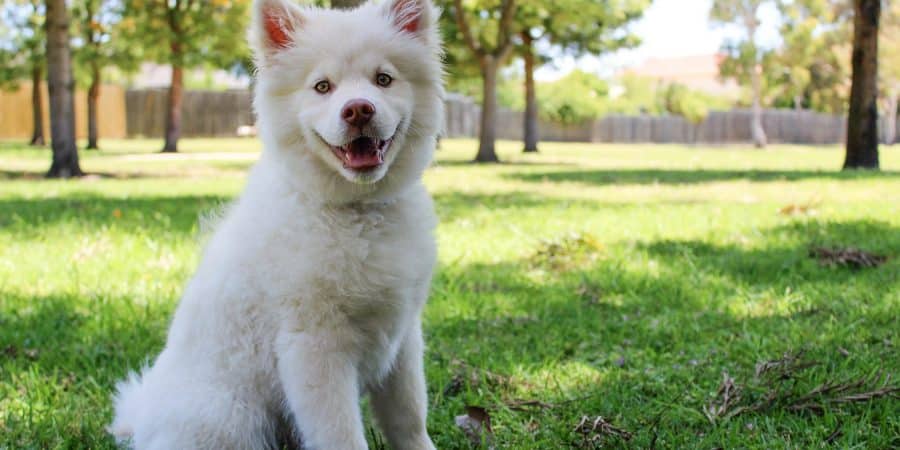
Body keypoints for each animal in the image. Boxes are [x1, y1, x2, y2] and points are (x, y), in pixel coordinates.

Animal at [110, 0, 444, 448]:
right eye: (322, 87)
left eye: (383, 79)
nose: (358, 109)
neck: (357, 211)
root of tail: (143, 419)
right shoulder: (314, 346)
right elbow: (342, 433)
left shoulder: (403, 337)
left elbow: (409, 416)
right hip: (231, 417)